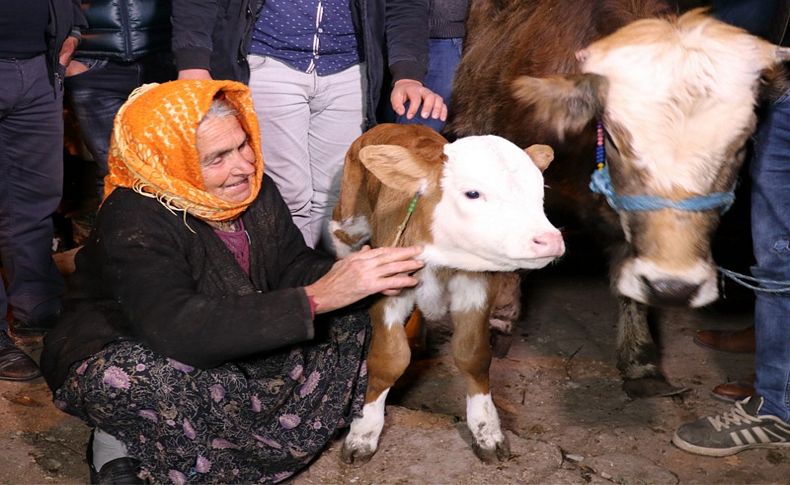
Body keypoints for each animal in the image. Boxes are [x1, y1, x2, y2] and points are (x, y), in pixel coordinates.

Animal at [332, 124, 568, 462]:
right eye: (472, 193)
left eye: (540, 191)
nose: (549, 240)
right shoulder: (387, 286)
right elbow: (389, 358)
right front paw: (363, 433)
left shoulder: (476, 288)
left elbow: (474, 355)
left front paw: (487, 430)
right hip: (348, 220)